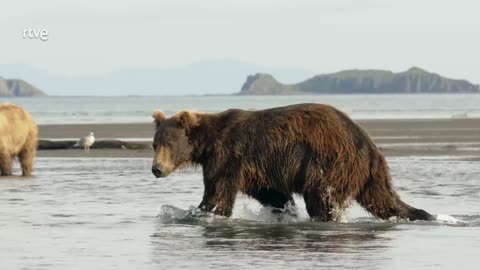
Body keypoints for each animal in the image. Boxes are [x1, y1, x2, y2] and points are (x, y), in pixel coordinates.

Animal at [151, 103, 436, 221]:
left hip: (331, 162)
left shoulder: (229, 156)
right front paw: (285, 209)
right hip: (367, 174)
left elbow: (218, 194)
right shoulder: (257, 170)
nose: (156, 169)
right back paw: (423, 214)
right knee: (383, 200)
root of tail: (369, 145)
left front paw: (192, 212)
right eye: (154, 144)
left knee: (322, 199)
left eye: (168, 144)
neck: (207, 144)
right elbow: (273, 193)